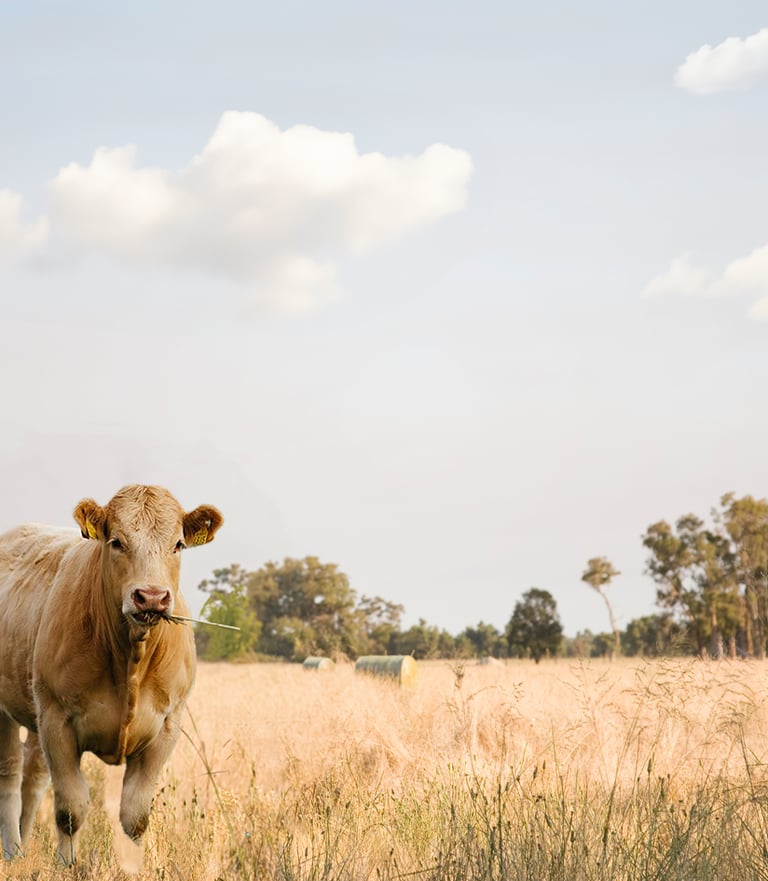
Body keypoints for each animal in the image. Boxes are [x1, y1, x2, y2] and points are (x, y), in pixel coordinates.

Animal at [0, 484, 223, 865]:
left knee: (33, 777)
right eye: (116, 541)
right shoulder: (57, 720)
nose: (152, 597)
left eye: (178, 544)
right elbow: (70, 809)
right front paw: (66, 866)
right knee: (10, 775)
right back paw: (13, 851)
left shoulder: (166, 727)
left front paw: (135, 867)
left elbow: (136, 816)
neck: (131, 657)